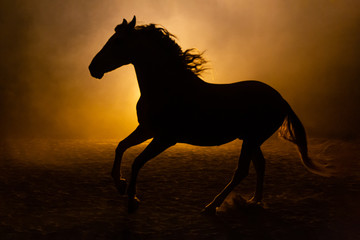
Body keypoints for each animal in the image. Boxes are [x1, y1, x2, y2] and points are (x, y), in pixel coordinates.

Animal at [89, 16, 326, 214]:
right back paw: (253, 202)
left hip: (252, 139)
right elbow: (121, 146)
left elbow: (137, 161)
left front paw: (132, 200)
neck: (168, 87)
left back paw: (212, 206)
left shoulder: (165, 138)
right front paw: (120, 185)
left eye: (118, 41)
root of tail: (281, 99)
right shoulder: (147, 129)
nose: (93, 68)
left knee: (242, 170)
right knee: (260, 165)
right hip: (251, 139)